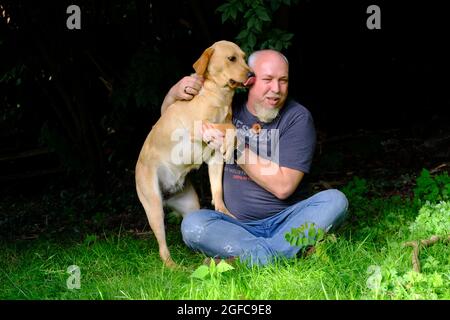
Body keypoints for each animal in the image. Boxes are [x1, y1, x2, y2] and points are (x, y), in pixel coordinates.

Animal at [135, 41, 251, 268]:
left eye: (244, 57)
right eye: (231, 58)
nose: (252, 74)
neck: (217, 95)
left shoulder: (214, 159)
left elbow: (217, 190)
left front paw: (223, 211)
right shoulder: (197, 128)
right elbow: (229, 126)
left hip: (190, 206)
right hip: (154, 207)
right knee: (162, 248)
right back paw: (173, 267)